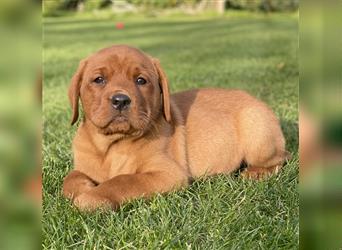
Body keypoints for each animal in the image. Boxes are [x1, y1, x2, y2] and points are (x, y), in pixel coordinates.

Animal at [62, 45, 288, 211]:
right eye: (99, 79)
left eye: (141, 80)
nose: (120, 100)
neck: (112, 144)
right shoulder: (83, 166)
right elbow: (69, 179)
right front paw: (82, 188)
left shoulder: (167, 174)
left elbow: (123, 181)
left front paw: (91, 197)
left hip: (257, 133)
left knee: (282, 158)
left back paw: (256, 173)